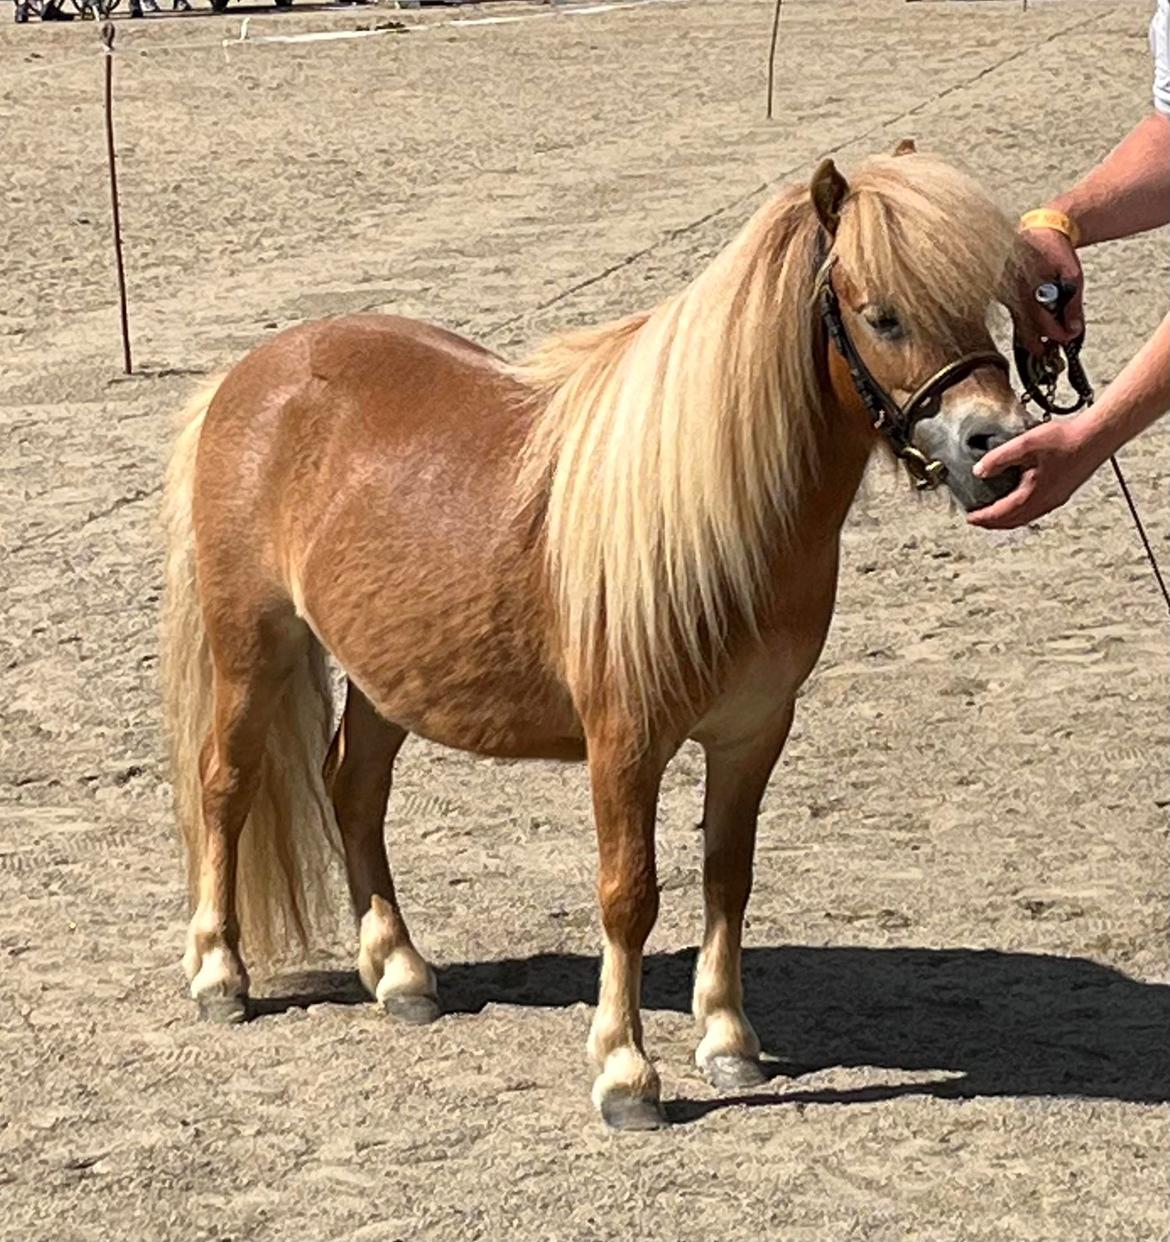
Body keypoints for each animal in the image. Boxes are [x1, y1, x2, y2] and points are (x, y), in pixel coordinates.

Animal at [162, 150, 1023, 1132]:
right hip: (251, 647)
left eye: (982, 303)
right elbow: (629, 896)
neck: (717, 514)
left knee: (353, 787)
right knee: (225, 785)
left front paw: (727, 1040)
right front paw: (626, 1073)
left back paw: (400, 974)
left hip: (390, 676)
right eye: (883, 314)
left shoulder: (753, 733)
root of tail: (250, 375)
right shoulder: (625, 743)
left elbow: (728, 877)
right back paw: (220, 974)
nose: (996, 448)